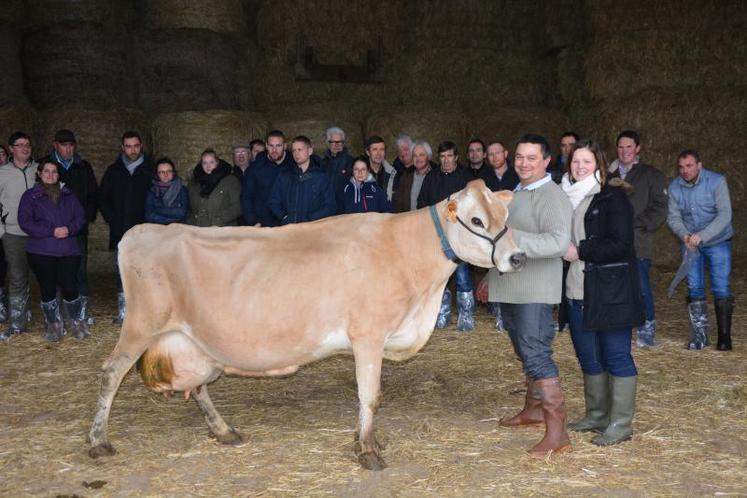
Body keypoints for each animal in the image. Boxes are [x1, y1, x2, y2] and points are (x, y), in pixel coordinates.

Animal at [87, 180, 524, 470]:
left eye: (506, 216)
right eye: (476, 220)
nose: (517, 258)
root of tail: (139, 232)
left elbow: (365, 398)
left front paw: (364, 440)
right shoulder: (368, 333)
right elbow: (370, 396)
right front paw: (368, 451)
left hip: (195, 340)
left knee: (198, 387)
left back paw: (224, 430)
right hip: (141, 323)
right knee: (110, 373)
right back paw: (97, 442)